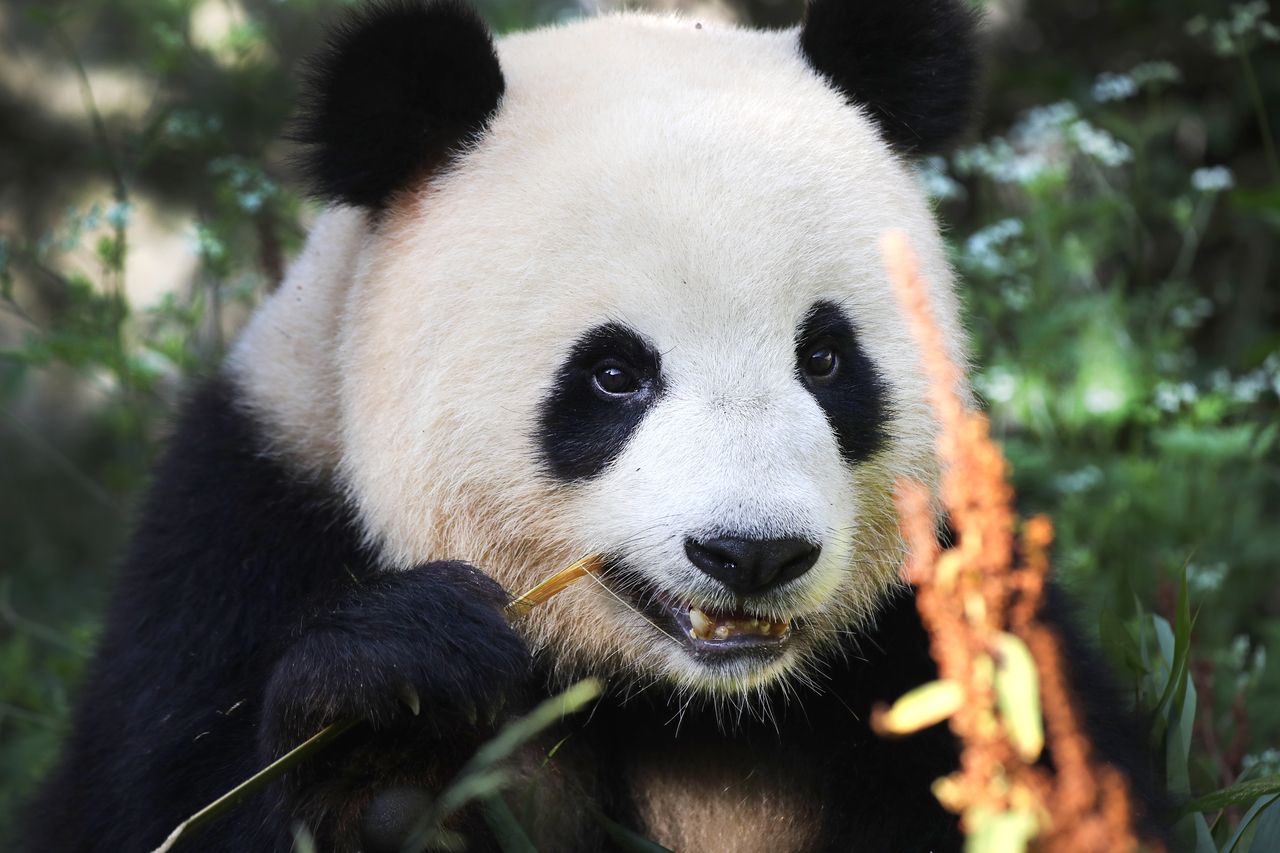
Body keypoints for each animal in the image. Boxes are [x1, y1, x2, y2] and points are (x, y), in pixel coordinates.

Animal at [24, 1, 1162, 850]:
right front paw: (390, 711)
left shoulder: (944, 607)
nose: (752, 553)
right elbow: (161, 800)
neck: (681, 700)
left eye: (826, 359)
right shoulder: (246, 522)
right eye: (614, 374)